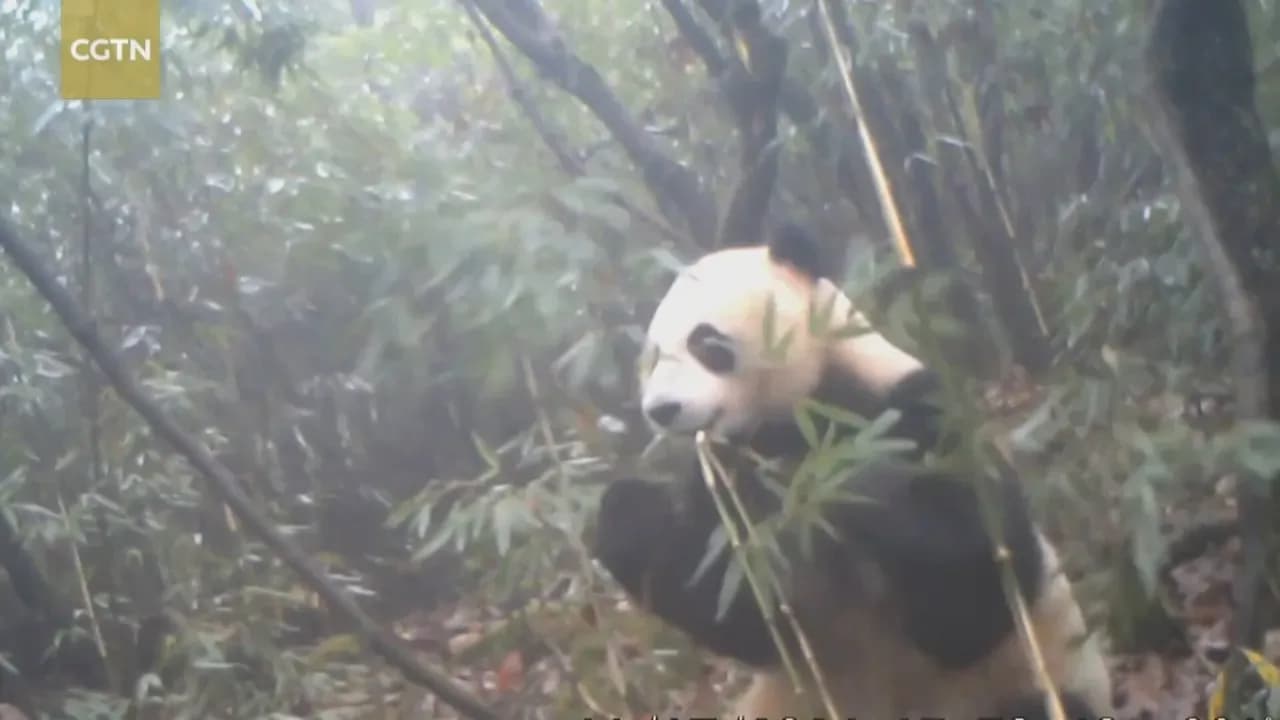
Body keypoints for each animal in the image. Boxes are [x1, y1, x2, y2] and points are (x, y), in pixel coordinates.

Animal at [591, 224, 1113, 720]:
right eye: (651, 357)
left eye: (705, 342)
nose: (662, 409)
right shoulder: (727, 489)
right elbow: (742, 616)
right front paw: (627, 516)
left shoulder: (914, 408)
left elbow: (979, 590)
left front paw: (845, 482)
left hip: (1032, 679)